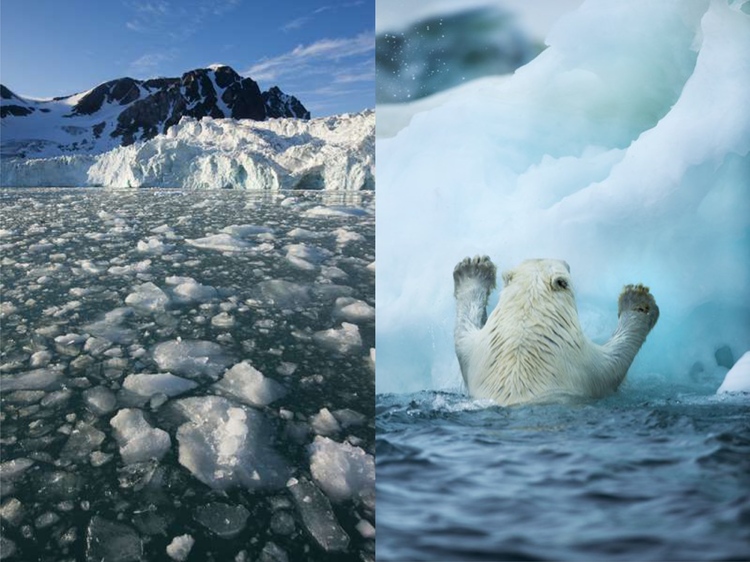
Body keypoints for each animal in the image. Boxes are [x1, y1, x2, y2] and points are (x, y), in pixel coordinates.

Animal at [452, 256, 656, 404]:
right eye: (567, 266)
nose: (566, 261)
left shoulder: (477, 353)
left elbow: (463, 332)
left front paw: (473, 268)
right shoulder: (584, 366)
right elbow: (615, 361)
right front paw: (637, 299)